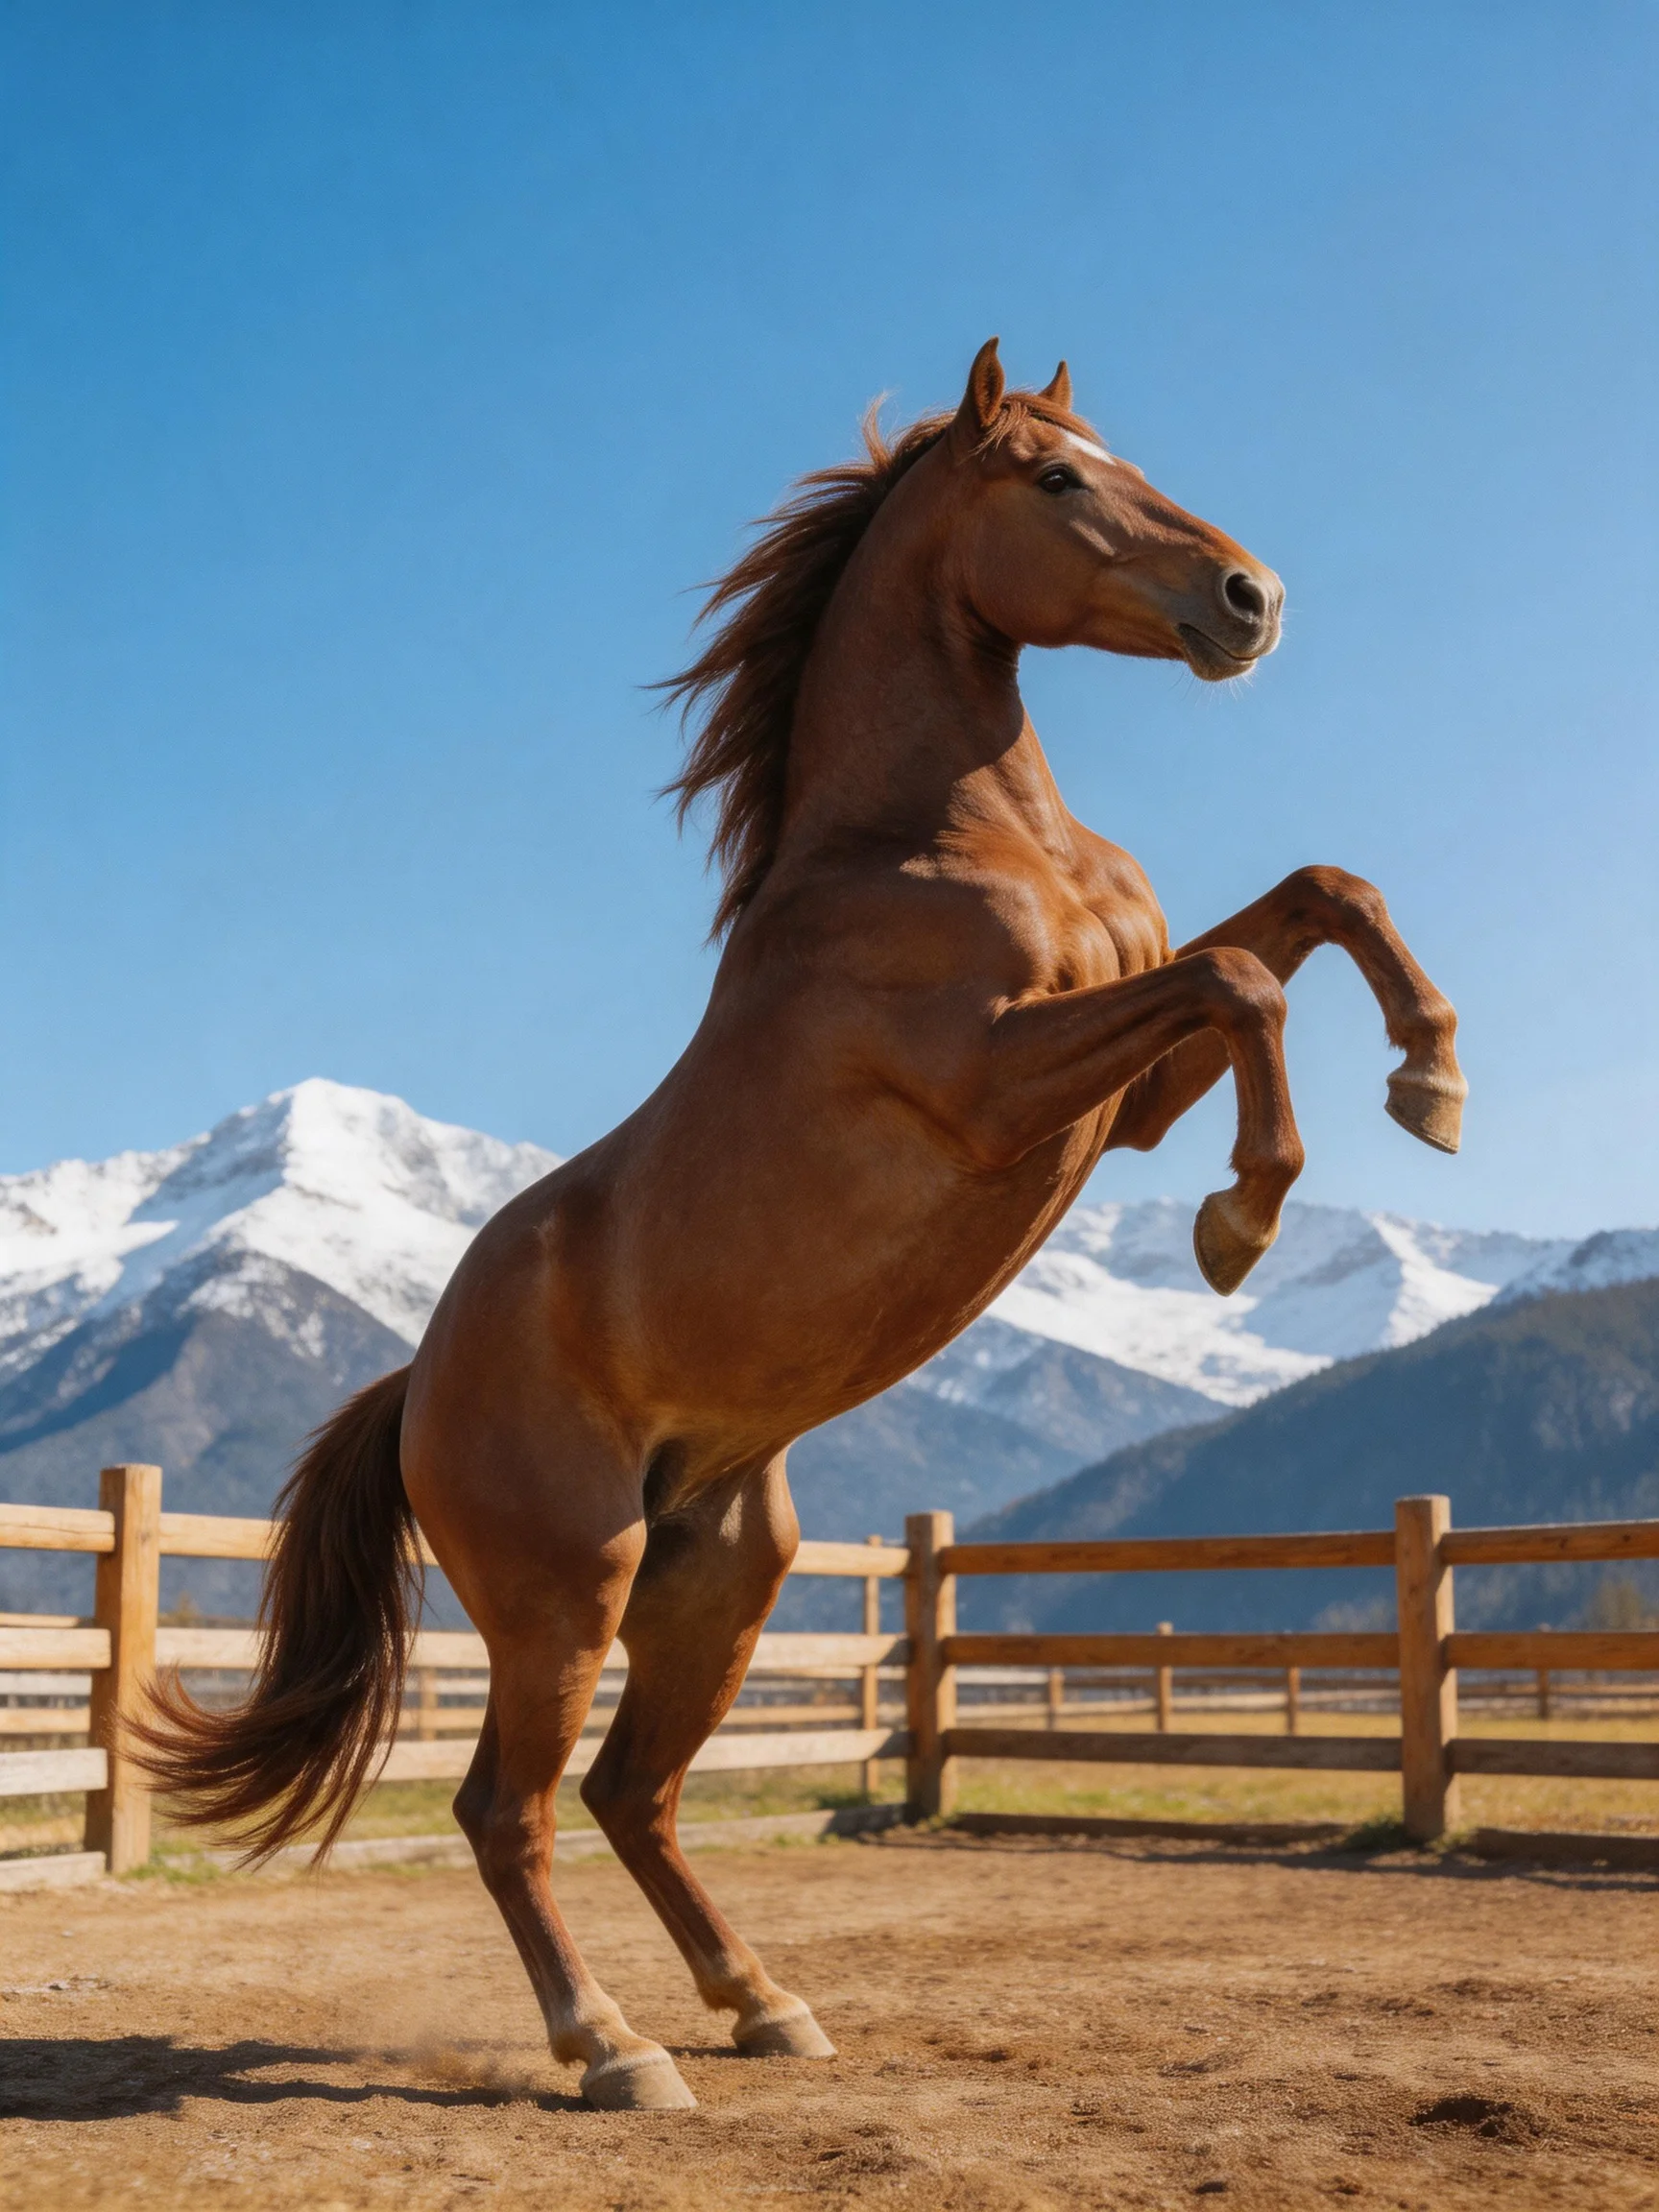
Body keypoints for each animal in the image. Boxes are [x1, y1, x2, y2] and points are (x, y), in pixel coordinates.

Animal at [138, 340, 1466, 2112]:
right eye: (1056, 477)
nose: (1249, 601)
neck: (935, 839)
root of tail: (414, 1387)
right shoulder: (999, 1085)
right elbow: (1243, 973)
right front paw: (1242, 1220)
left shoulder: (1119, 1102)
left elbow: (1317, 897)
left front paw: (1430, 1080)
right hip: (566, 1589)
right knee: (511, 1807)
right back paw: (616, 2047)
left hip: (719, 1584)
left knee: (630, 1793)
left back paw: (761, 2001)